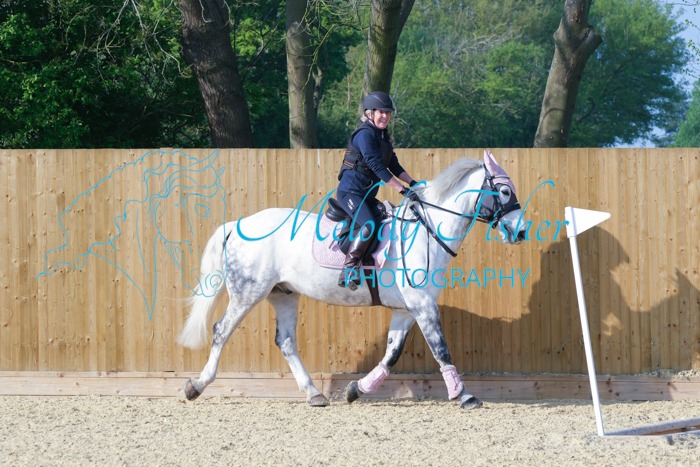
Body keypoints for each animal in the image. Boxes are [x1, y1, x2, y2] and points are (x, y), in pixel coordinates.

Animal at [177, 151, 528, 409]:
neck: (425, 232)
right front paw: (464, 395)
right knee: (221, 331)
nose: (522, 231)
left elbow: (391, 355)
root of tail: (238, 225)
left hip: (284, 294)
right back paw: (196, 385)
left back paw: (314, 394)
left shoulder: (406, 310)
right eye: (505, 191)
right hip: (248, 293)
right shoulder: (423, 306)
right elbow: (441, 349)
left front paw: (356, 389)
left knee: (286, 342)